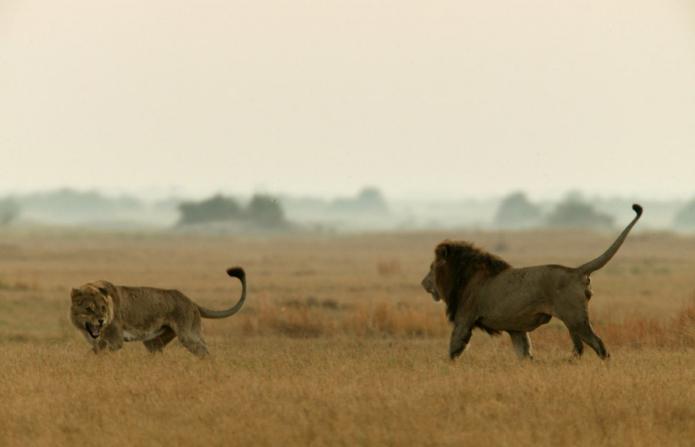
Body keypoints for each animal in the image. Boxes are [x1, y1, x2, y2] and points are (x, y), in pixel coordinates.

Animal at [70, 268, 245, 358]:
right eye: (89, 309)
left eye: (103, 308)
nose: (101, 320)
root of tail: (192, 302)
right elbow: (94, 352)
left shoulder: (115, 340)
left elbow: (97, 353)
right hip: (154, 343)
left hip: (188, 335)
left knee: (205, 352)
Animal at [422, 205, 644, 362]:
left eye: (431, 267)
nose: (423, 283)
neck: (463, 275)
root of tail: (576, 270)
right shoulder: (516, 328)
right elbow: (524, 353)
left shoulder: (464, 318)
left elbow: (453, 349)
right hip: (572, 320)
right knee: (580, 347)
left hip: (575, 319)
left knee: (599, 345)